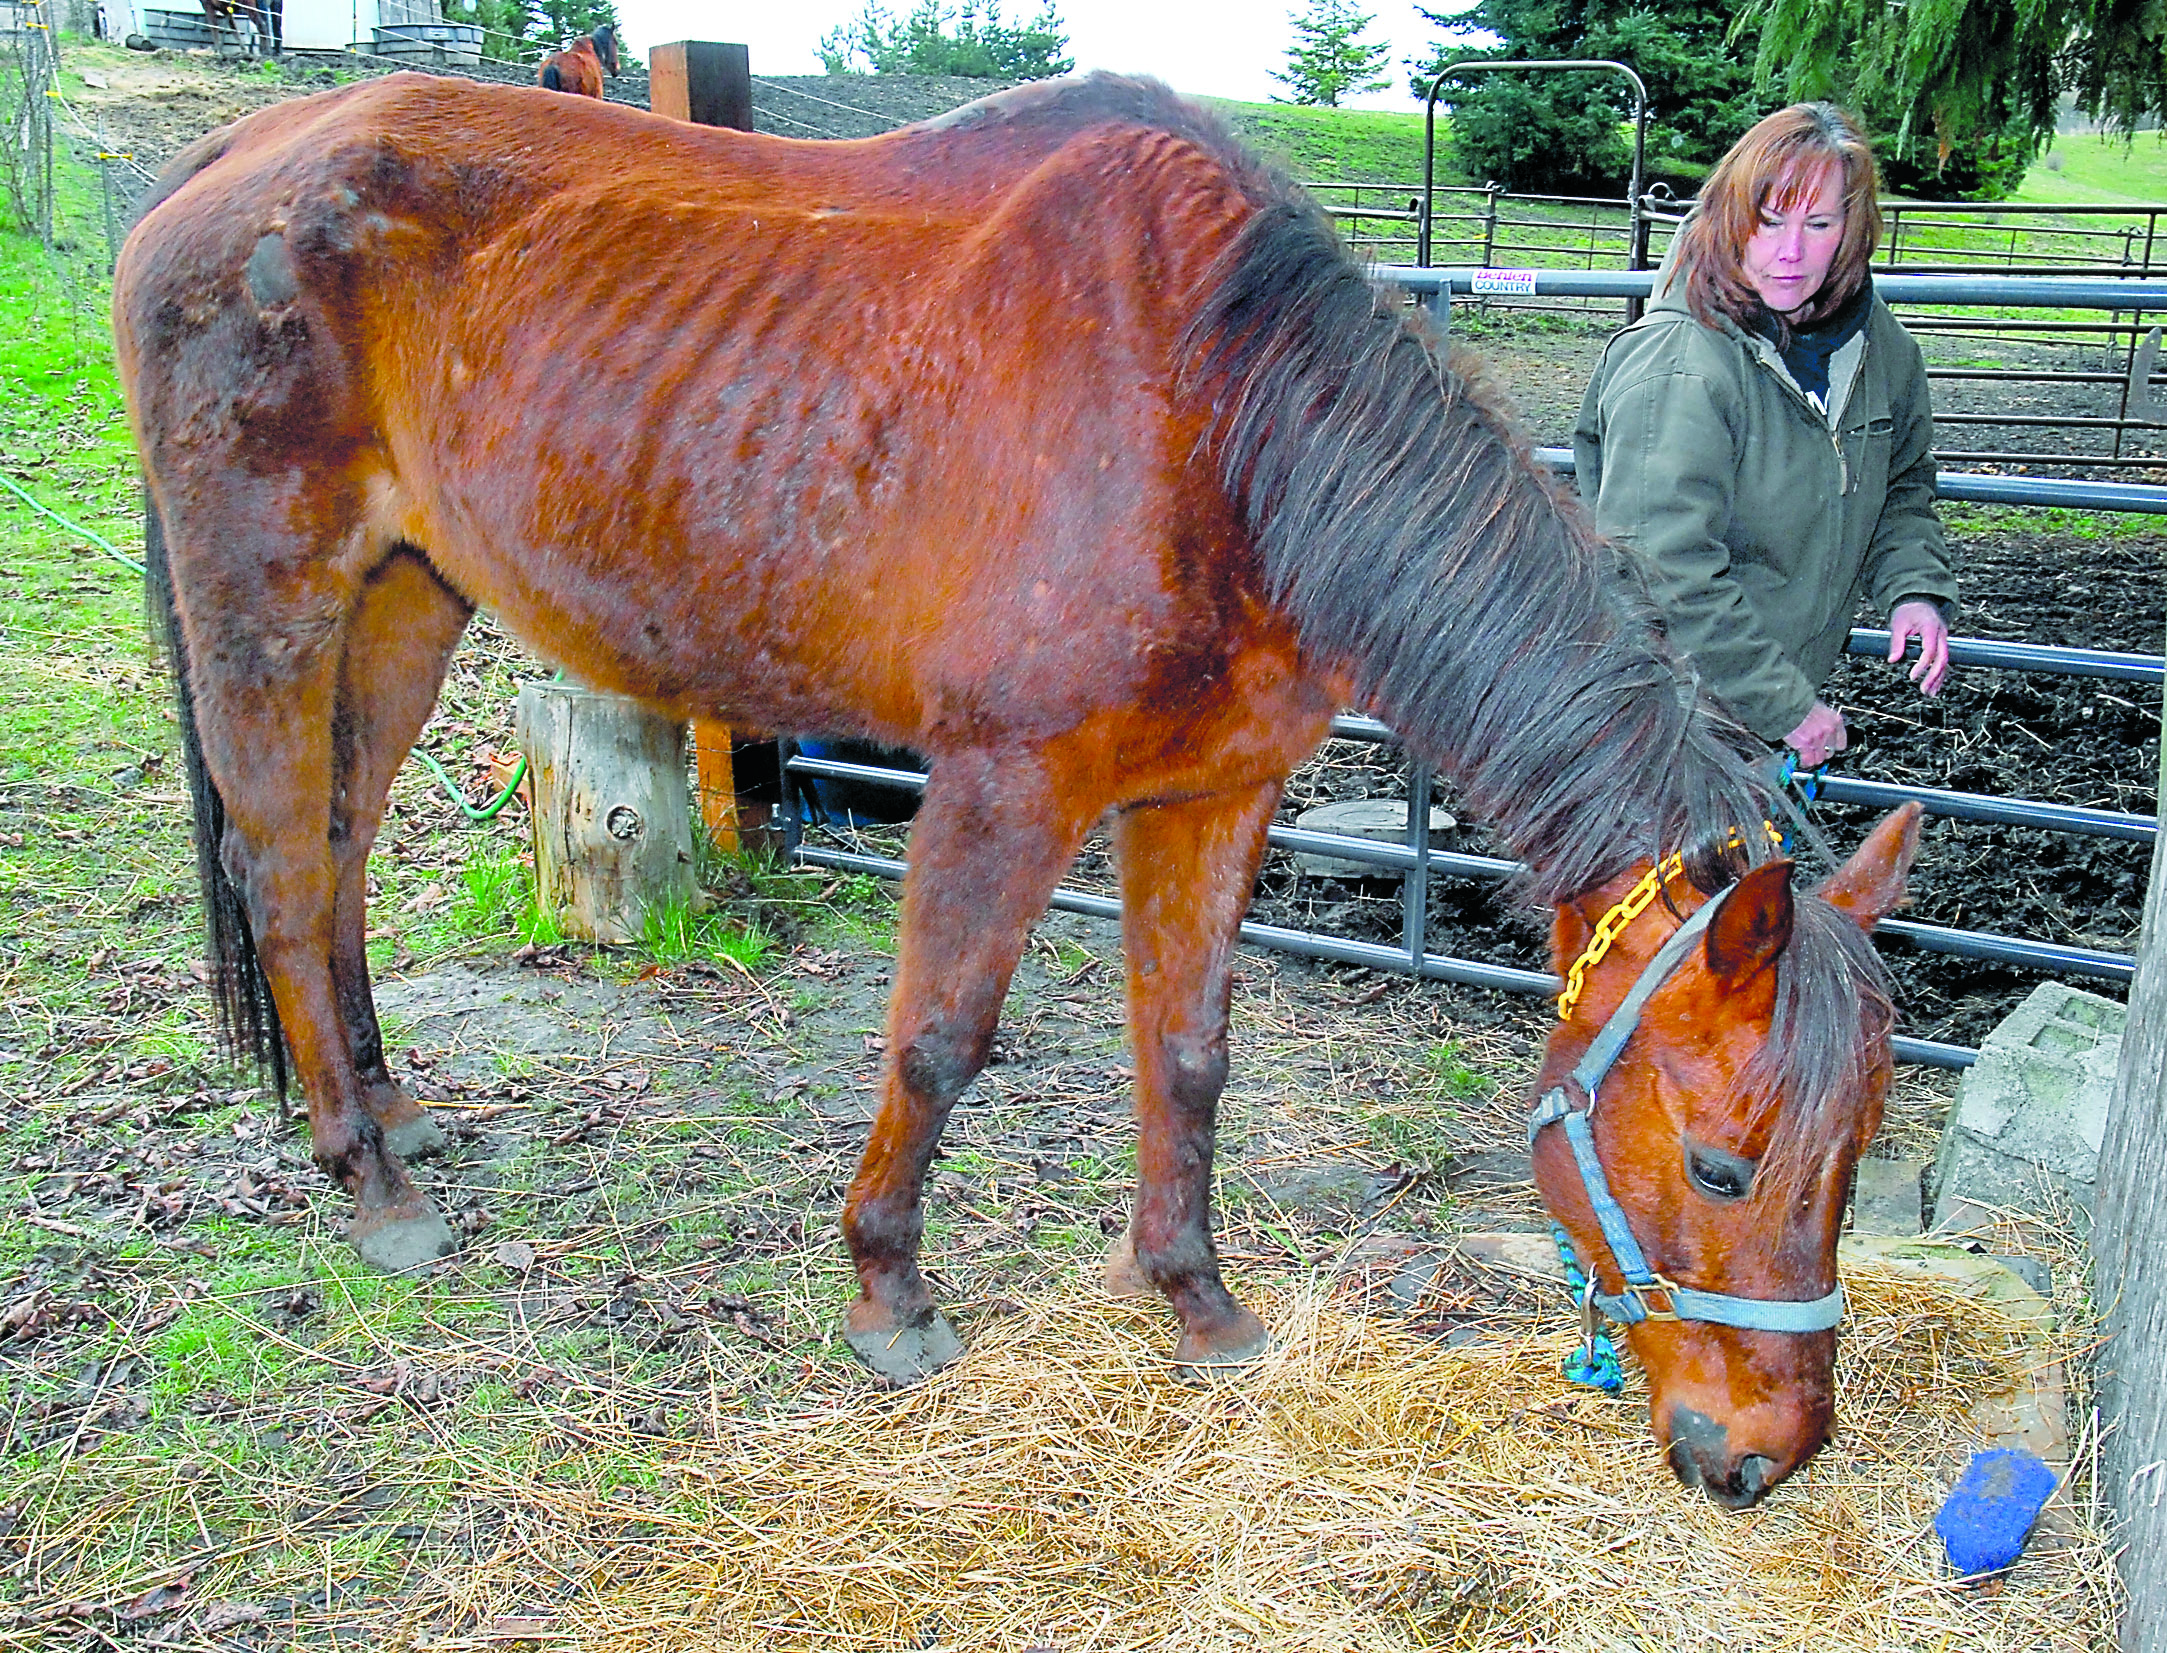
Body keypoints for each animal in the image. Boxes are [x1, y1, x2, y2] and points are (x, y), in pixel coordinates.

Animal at [113, 71, 1915, 1506]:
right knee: (282, 866)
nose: (1765, 1455)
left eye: (1852, 1161)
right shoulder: (1002, 790)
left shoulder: (1211, 801)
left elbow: (1186, 1055)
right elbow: (938, 1040)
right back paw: (372, 1183)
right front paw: (889, 1293)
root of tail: (231, 158)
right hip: (272, 601)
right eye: (1722, 1167)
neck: (1217, 412)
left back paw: (386, 1100)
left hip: (408, 595)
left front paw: (1194, 1302)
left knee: (340, 849)